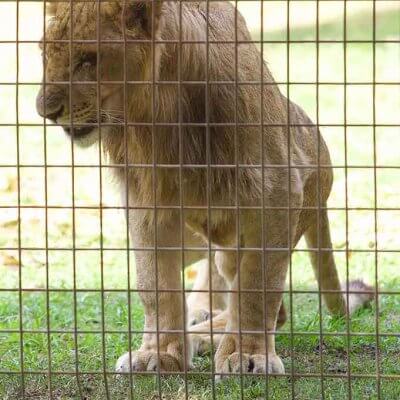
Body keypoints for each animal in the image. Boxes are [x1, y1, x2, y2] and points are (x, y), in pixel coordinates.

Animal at [36, 0, 374, 376]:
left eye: (88, 59)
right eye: (44, 55)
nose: (45, 112)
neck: (153, 118)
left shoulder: (278, 191)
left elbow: (257, 289)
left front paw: (248, 355)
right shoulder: (145, 201)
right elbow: (155, 285)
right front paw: (160, 353)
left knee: (273, 308)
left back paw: (206, 334)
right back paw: (199, 319)